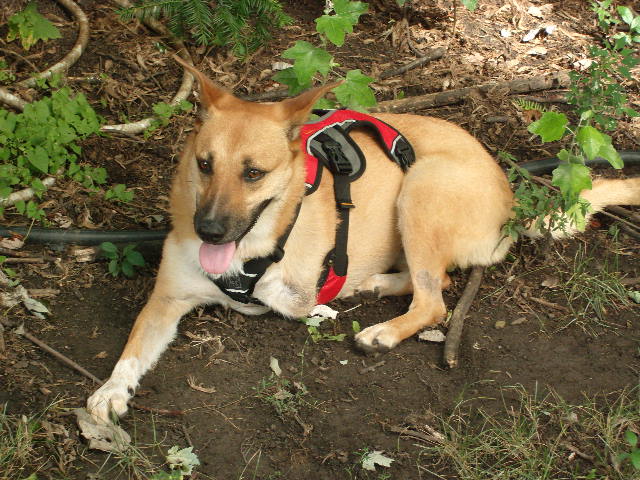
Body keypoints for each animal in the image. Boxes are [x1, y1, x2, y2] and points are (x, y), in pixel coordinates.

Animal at [86, 61, 640, 424]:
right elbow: (134, 346)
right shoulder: (167, 298)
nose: (209, 231)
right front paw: (112, 389)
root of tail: (510, 197)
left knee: (436, 299)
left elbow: (284, 296)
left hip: (421, 187)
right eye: (204, 164)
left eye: (253, 173)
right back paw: (368, 286)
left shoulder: (291, 287)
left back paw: (381, 329)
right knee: (434, 282)